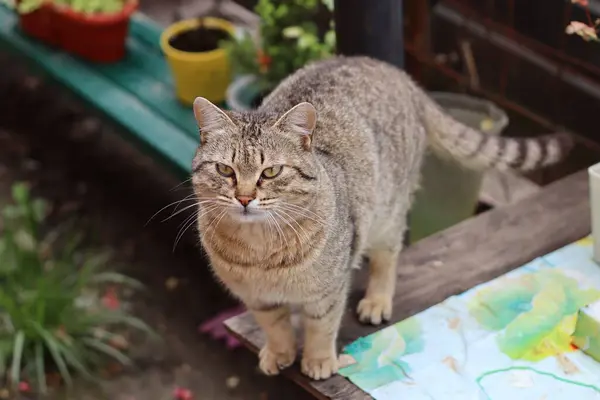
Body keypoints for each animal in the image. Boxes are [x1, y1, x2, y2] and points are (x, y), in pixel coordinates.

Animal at [191, 54, 572, 380]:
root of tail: (397, 73)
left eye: (270, 172)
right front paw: (279, 352)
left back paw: (377, 300)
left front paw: (318, 360)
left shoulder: (328, 290)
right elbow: (275, 326)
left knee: (388, 257)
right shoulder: (257, 297)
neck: (260, 249)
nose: (244, 198)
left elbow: (321, 327)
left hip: (388, 214)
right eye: (225, 170)